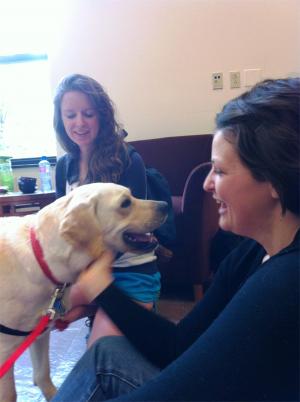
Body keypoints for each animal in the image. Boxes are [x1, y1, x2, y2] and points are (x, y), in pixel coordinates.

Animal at [0, 183, 166, 402]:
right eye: (125, 203)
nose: (165, 205)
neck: (42, 258)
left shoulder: (40, 333)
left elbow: (43, 375)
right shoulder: (4, 350)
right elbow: (10, 394)